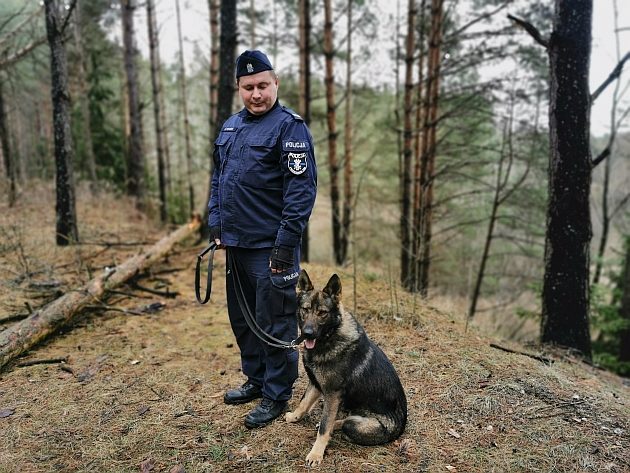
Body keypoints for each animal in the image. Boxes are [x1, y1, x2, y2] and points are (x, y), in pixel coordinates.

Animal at [288, 270, 410, 464]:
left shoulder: (332, 394)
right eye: (306, 309)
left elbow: (324, 427)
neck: (330, 336)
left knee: (345, 424)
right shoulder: (315, 384)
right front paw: (294, 416)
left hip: (357, 424)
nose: (307, 333)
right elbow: (304, 403)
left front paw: (316, 453)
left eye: (322, 313)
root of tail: (400, 429)